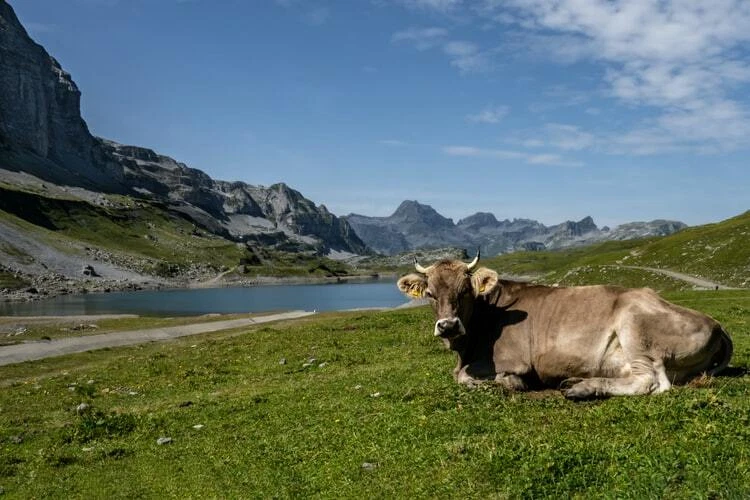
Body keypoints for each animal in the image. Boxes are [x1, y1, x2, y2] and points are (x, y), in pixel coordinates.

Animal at [397, 253, 733, 400]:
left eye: (465, 291)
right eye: (430, 293)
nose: (448, 326)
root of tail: (715, 323)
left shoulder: (513, 359)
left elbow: (464, 377)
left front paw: (511, 382)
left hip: (636, 328)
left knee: (650, 382)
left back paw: (582, 389)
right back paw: (578, 382)